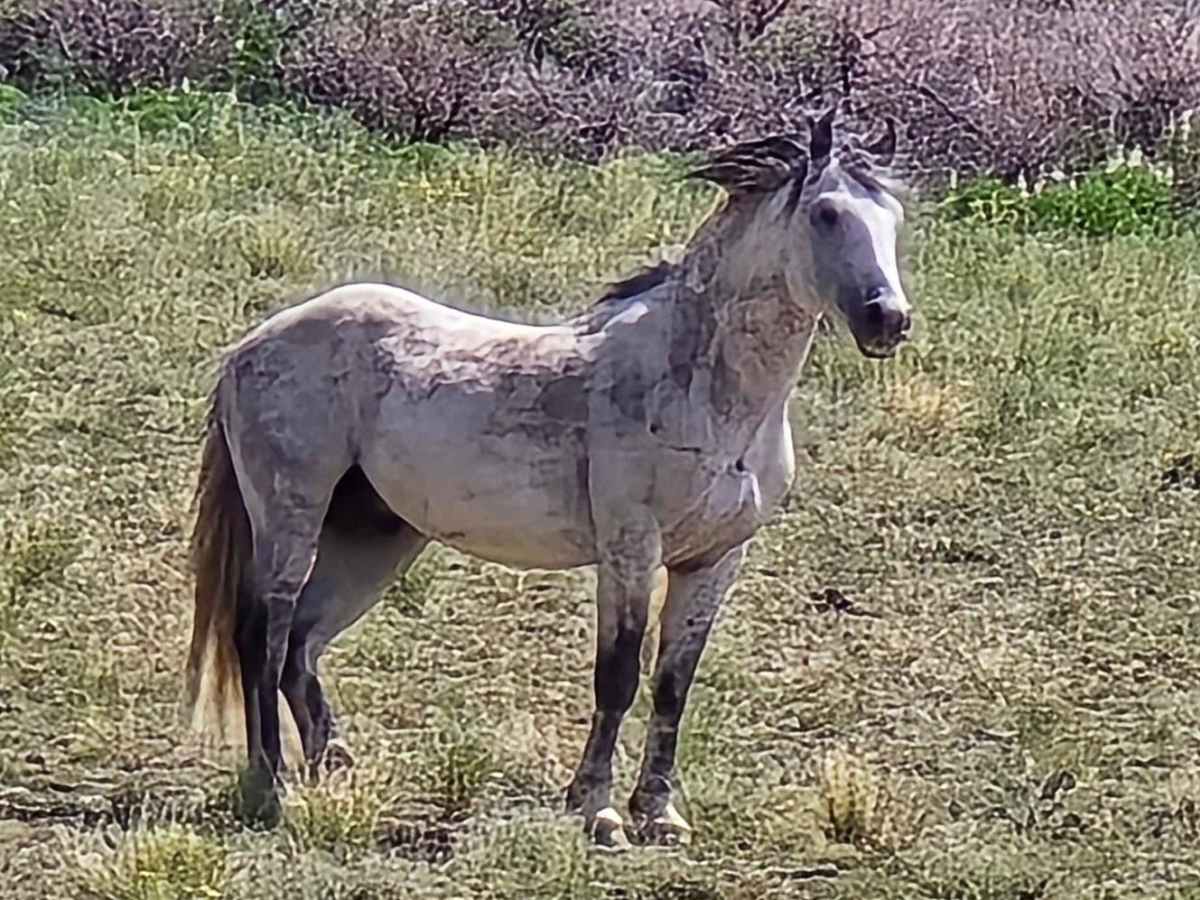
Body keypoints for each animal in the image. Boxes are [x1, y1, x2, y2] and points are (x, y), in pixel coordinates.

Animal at [182, 107, 913, 850]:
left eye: (894, 218)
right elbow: (617, 676)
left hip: (375, 537)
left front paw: (660, 815)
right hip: (291, 519)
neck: (703, 387)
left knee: (301, 645)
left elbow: (673, 684)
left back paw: (334, 771)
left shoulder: (713, 559)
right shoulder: (629, 548)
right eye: (826, 213)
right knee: (262, 637)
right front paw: (599, 811)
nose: (889, 320)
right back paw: (270, 786)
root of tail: (251, 347)